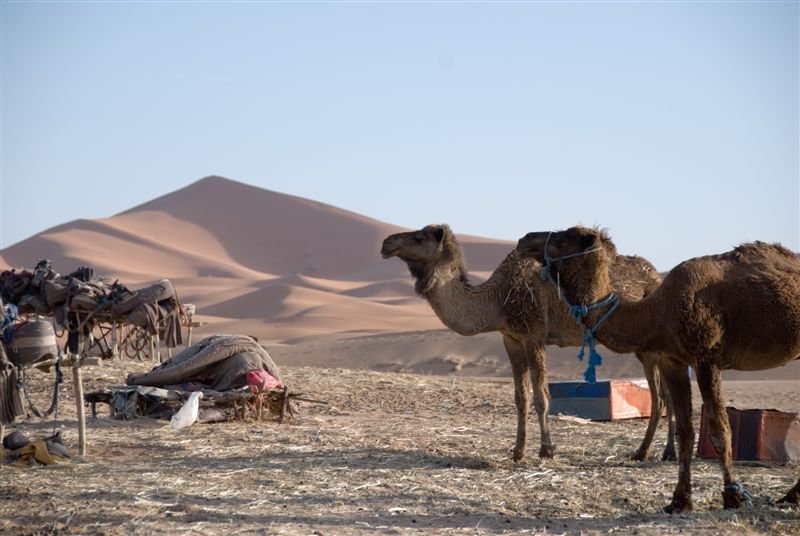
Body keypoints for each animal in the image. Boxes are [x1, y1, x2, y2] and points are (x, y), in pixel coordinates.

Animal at [381, 224, 675, 462]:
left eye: (419, 237)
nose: (386, 242)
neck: (497, 299)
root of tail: (656, 277)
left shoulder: (534, 336)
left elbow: (542, 396)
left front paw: (546, 450)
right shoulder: (511, 339)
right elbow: (520, 397)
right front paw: (517, 452)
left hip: (651, 346)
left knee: (662, 397)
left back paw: (651, 452)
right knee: (666, 396)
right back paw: (660, 452)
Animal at [516, 226, 800, 512]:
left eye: (563, 238)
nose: (524, 239)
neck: (657, 311)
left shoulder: (706, 358)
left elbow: (719, 429)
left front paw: (733, 497)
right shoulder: (673, 361)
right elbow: (686, 432)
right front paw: (679, 501)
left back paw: (789, 495)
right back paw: (791, 496)